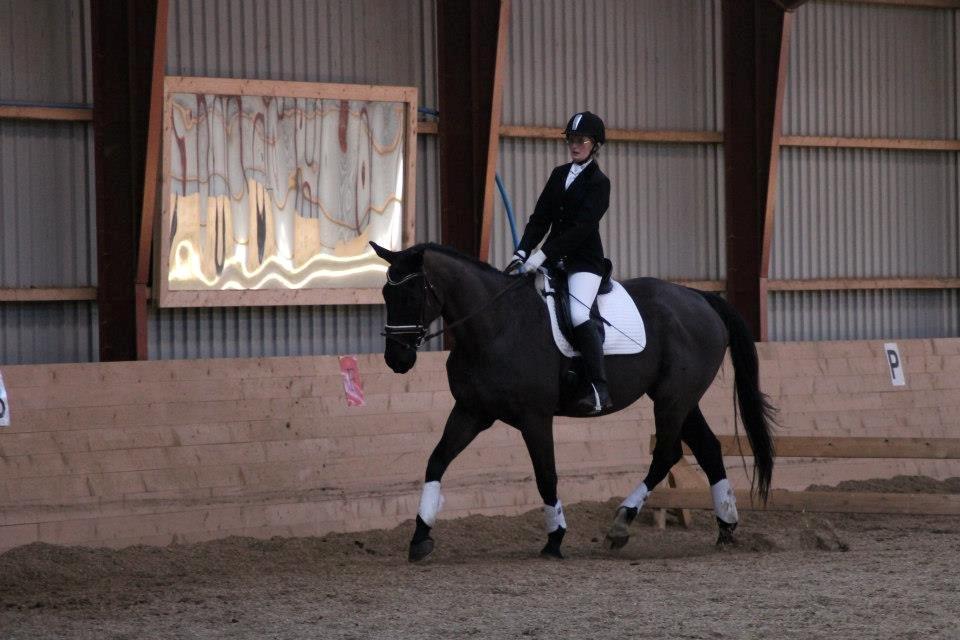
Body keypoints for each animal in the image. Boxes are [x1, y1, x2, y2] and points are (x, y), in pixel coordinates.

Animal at [372, 240, 776, 560]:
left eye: (411, 294)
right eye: (386, 294)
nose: (397, 360)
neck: (496, 326)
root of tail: (701, 298)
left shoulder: (534, 417)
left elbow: (546, 474)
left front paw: (555, 539)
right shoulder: (472, 411)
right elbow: (436, 461)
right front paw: (420, 537)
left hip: (673, 399)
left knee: (667, 454)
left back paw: (621, 523)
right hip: (682, 399)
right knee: (707, 449)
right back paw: (726, 527)